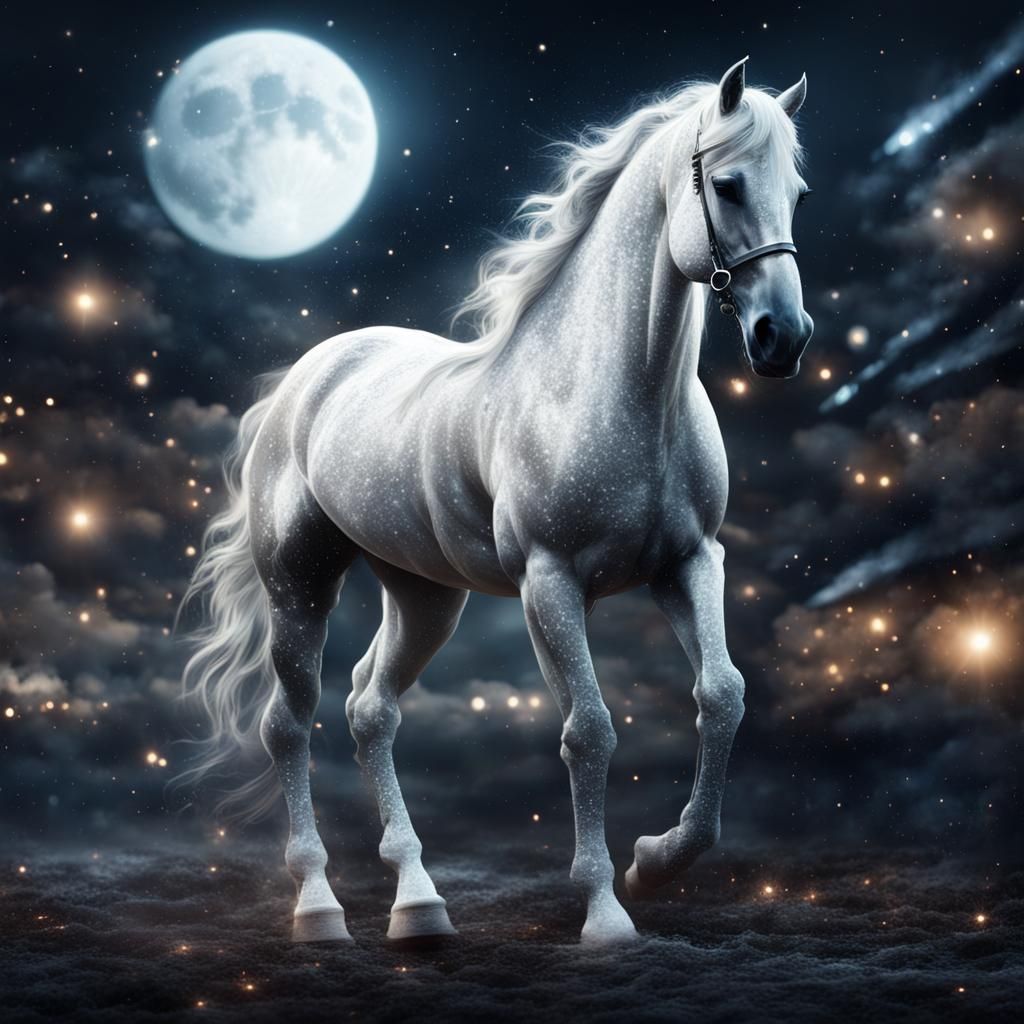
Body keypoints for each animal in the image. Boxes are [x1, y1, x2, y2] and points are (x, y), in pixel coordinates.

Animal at [181, 57, 813, 945]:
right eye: (726, 184)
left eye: (798, 193)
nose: (782, 338)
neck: (610, 390)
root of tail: (302, 380)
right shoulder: (549, 583)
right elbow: (589, 732)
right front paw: (605, 912)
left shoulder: (689, 563)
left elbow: (722, 696)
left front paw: (656, 861)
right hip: (298, 585)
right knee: (290, 722)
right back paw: (319, 908)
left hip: (424, 596)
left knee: (370, 706)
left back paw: (419, 905)